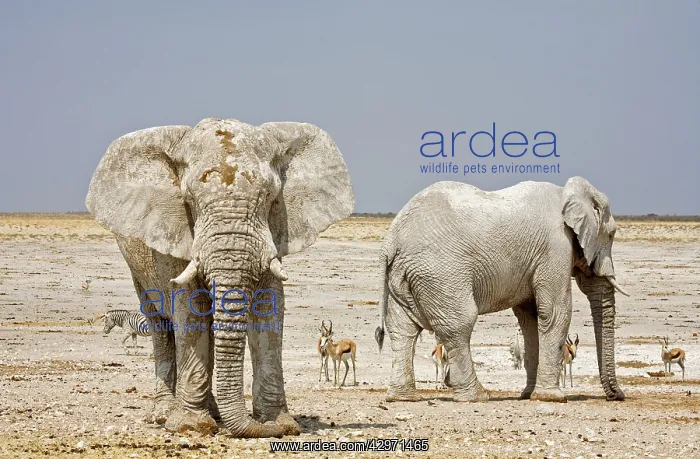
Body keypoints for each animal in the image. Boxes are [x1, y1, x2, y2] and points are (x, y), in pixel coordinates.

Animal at [86, 117, 354, 437]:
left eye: (270, 197)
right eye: (189, 199)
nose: (264, 429)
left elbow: (269, 311)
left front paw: (280, 425)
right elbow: (191, 311)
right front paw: (190, 425)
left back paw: (210, 413)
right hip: (135, 264)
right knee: (160, 326)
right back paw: (165, 415)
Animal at [374, 177, 629, 403]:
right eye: (611, 234)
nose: (617, 397)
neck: (567, 193)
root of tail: (391, 242)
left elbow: (530, 317)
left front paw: (528, 395)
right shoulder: (555, 247)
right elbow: (555, 312)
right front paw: (553, 397)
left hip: (403, 275)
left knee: (403, 330)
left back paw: (402, 397)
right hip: (441, 273)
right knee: (458, 325)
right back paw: (477, 396)